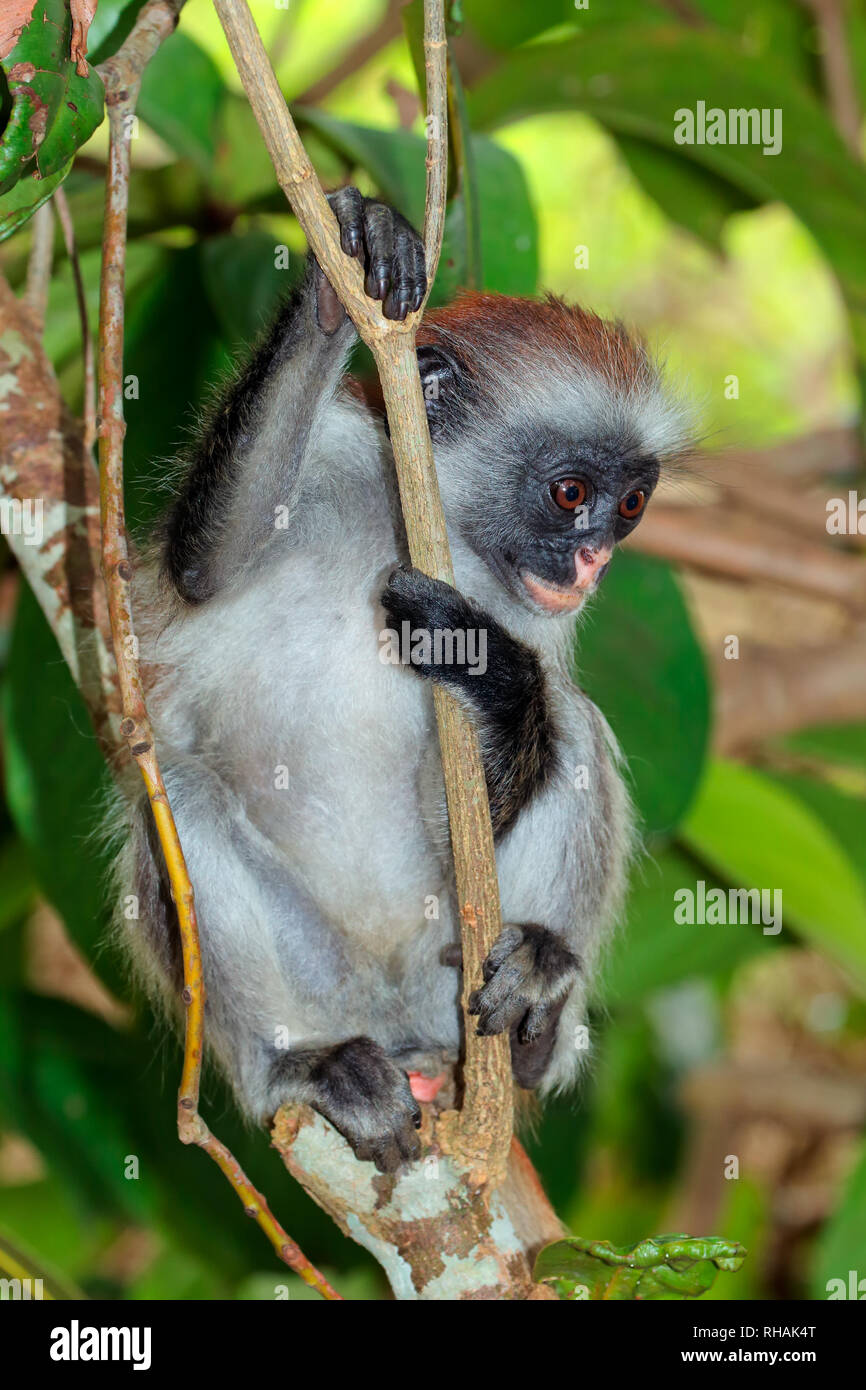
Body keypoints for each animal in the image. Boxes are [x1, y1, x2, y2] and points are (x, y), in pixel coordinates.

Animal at [118, 187, 695, 1173]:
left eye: (630, 505)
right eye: (571, 493)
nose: (593, 566)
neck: (432, 529)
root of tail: (397, 1019)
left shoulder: (521, 612)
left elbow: (475, 797)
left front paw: (493, 676)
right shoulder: (340, 461)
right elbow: (203, 567)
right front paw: (342, 269)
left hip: (448, 970)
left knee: (575, 728)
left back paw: (537, 1019)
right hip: (326, 979)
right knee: (180, 801)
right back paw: (303, 1066)